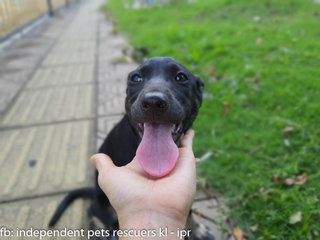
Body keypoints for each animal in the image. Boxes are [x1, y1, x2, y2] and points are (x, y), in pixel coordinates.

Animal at [49, 56, 205, 236]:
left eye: (181, 77)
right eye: (136, 78)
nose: (153, 102)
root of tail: (95, 192)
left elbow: (189, 210)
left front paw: (197, 230)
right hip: (105, 208)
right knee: (94, 213)